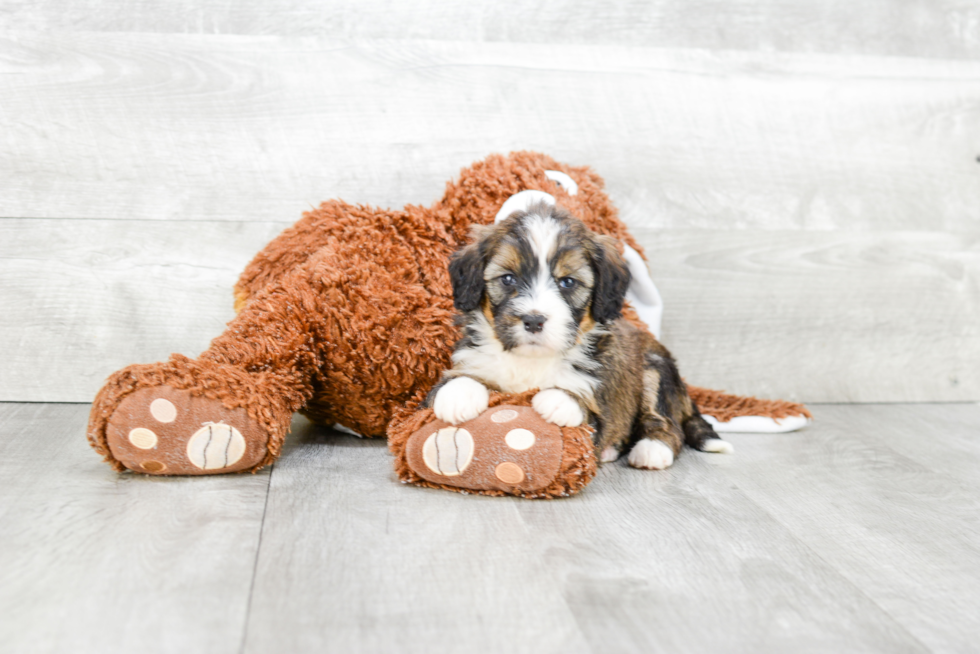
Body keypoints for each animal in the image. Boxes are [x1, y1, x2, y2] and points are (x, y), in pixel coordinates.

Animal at [424, 202, 732, 468]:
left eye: (568, 282)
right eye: (508, 278)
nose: (533, 320)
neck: (530, 360)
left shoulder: (599, 404)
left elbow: (583, 404)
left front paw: (560, 399)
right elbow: (459, 379)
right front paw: (457, 394)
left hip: (656, 370)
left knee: (666, 421)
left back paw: (653, 448)